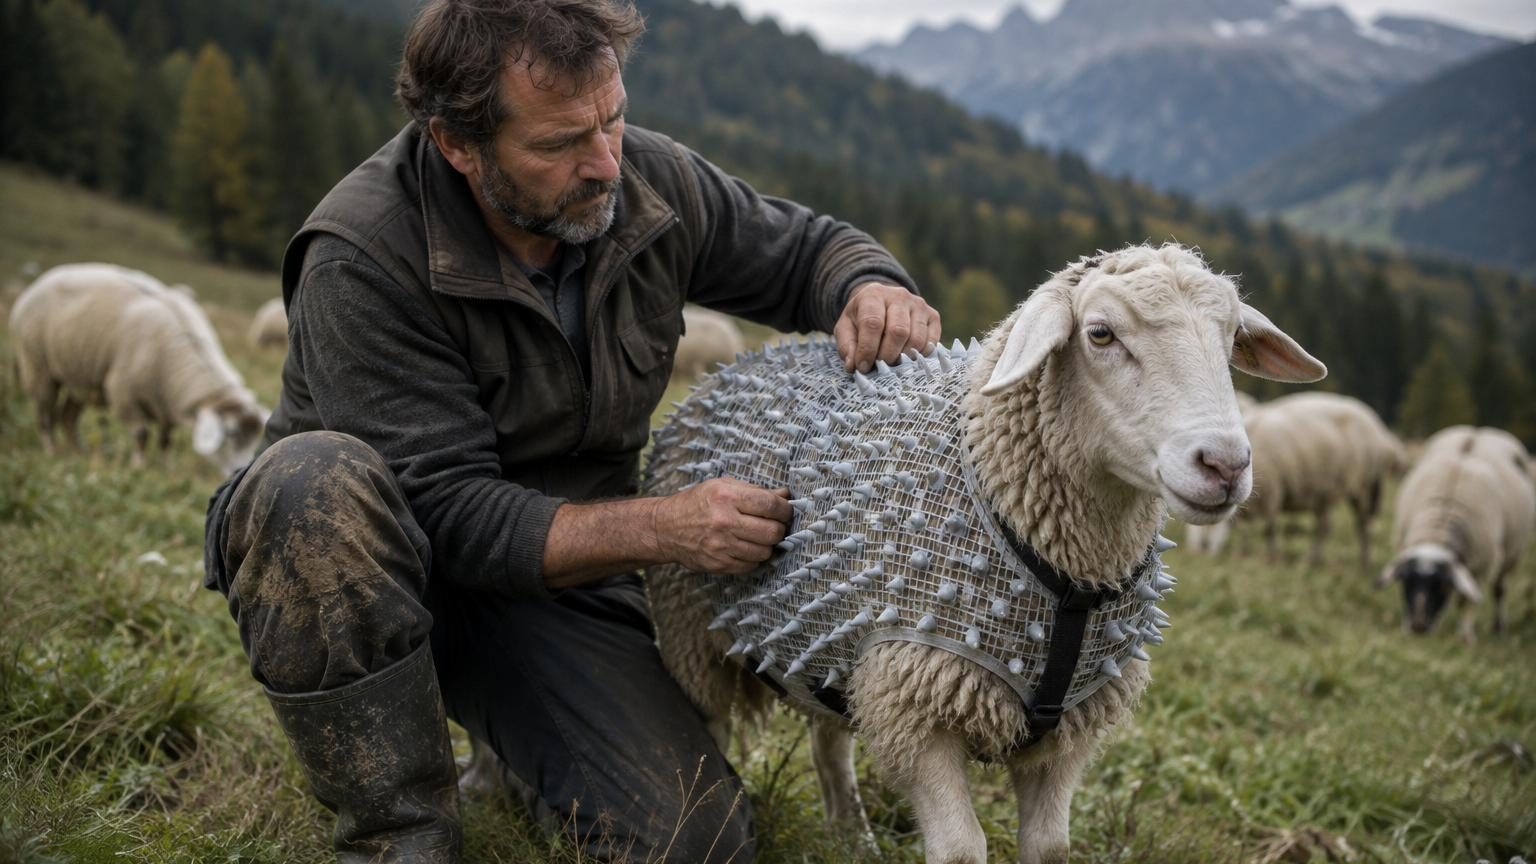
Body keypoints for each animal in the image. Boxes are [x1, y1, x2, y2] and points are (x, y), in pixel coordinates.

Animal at [8, 262, 269, 475]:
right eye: (232, 433)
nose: (238, 472)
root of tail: (40, 282)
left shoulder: (167, 403)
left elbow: (166, 440)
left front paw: (166, 469)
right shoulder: (123, 393)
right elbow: (141, 434)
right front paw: (139, 467)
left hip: (80, 377)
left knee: (67, 416)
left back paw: (78, 452)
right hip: (37, 366)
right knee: (45, 415)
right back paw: (51, 450)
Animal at [643, 244, 1325, 864]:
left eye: (1231, 338)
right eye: (1101, 333)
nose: (1225, 465)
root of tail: (734, 365)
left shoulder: (1068, 733)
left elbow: (1050, 848)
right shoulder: (914, 709)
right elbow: (961, 851)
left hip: (826, 646)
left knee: (828, 740)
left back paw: (853, 839)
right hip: (691, 634)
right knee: (713, 731)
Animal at [1378, 427, 1536, 639]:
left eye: (1441, 586)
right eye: (1407, 582)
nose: (1418, 628)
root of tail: (1479, 431)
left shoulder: (1481, 566)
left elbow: (1467, 602)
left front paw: (1466, 636)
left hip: (1513, 555)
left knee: (1499, 589)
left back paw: (1498, 627)